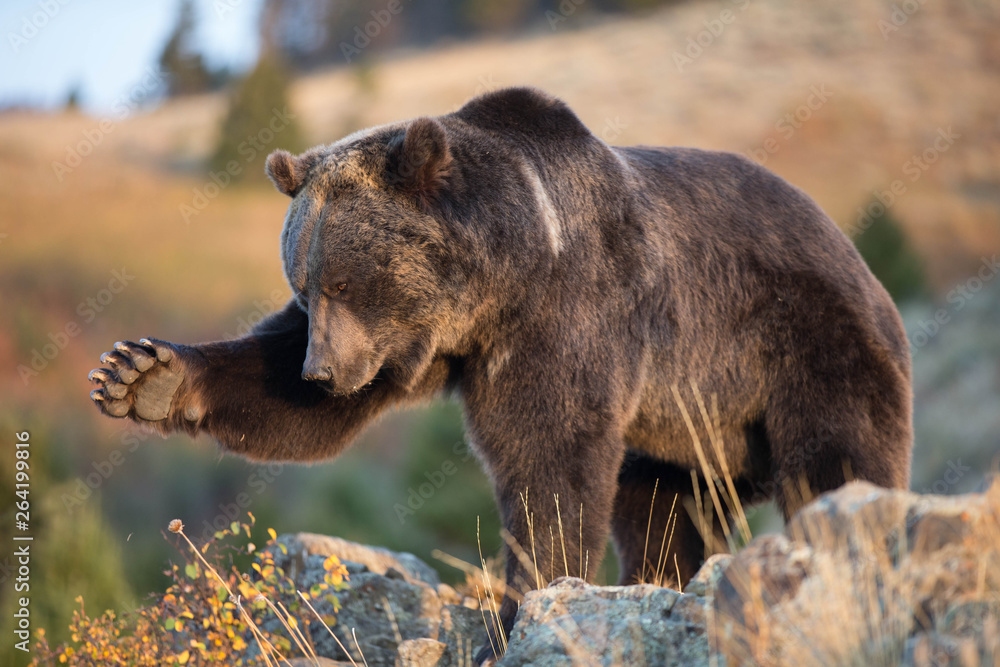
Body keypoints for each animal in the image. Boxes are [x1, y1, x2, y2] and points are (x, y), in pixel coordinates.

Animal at [89, 87, 912, 662]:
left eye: (347, 281)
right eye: (305, 283)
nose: (321, 371)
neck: (499, 283)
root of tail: (862, 263)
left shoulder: (569, 316)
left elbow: (550, 460)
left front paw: (518, 612)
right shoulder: (422, 347)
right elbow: (284, 398)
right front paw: (140, 373)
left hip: (802, 350)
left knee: (838, 463)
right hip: (684, 431)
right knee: (661, 510)